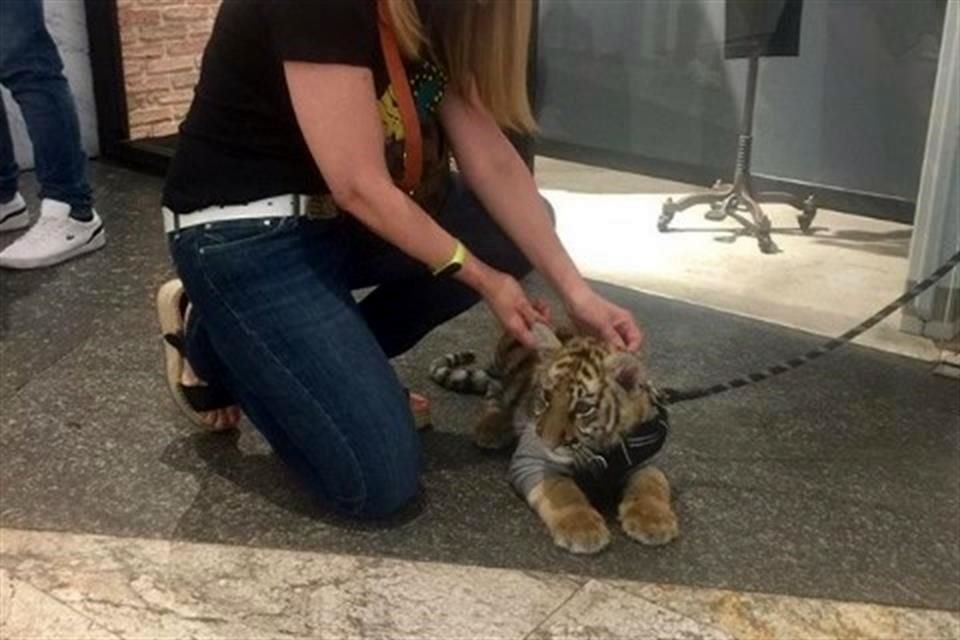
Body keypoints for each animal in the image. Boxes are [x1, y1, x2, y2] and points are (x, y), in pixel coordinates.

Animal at [430, 323, 679, 554]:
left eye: (583, 408)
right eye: (547, 396)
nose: (545, 440)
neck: (600, 447)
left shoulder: (645, 460)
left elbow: (652, 482)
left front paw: (654, 521)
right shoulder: (532, 461)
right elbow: (562, 491)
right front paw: (582, 529)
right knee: (494, 392)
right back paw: (492, 427)